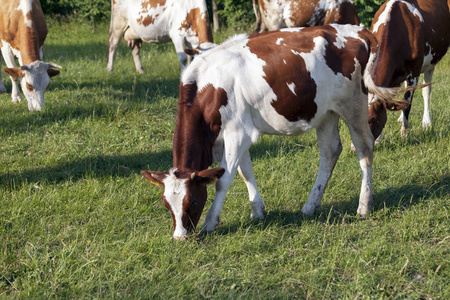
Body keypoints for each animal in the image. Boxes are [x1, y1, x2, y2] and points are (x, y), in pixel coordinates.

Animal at [142, 24, 412, 240]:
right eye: (166, 204)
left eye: (194, 200)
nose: (180, 237)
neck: (207, 86)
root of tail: (357, 30)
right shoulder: (229, 135)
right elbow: (245, 172)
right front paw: (257, 210)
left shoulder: (237, 133)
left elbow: (224, 180)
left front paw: (210, 222)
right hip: (325, 112)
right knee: (330, 151)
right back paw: (310, 206)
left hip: (353, 104)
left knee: (365, 148)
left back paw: (364, 205)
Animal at [368, 0, 448, 138]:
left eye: (372, 119)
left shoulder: (414, 73)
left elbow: (407, 103)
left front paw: (404, 133)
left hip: (430, 62)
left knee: (426, 91)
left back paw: (426, 122)